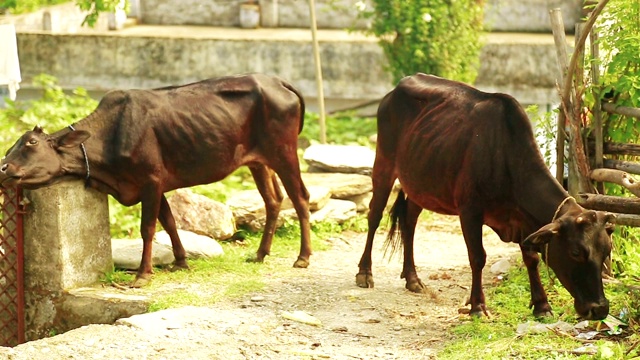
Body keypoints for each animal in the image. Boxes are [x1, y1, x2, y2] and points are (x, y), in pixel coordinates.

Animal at [0, 73, 310, 286]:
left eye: (31, 143)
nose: (3, 167)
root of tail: (277, 81)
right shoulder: (156, 184)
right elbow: (169, 222)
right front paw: (181, 261)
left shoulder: (150, 180)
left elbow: (147, 228)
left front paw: (142, 274)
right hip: (259, 161)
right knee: (273, 199)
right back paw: (260, 253)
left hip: (283, 152)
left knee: (300, 197)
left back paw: (303, 257)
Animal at [356, 72, 616, 318]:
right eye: (575, 252)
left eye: (606, 251)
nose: (600, 309)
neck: (505, 158)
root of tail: (395, 89)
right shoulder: (469, 211)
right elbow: (478, 257)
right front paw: (478, 306)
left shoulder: (522, 220)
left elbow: (531, 258)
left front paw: (542, 305)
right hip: (384, 162)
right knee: (374, 215)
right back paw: (365, 273)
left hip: (420, 183)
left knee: (409, 222)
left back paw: (412, 278)